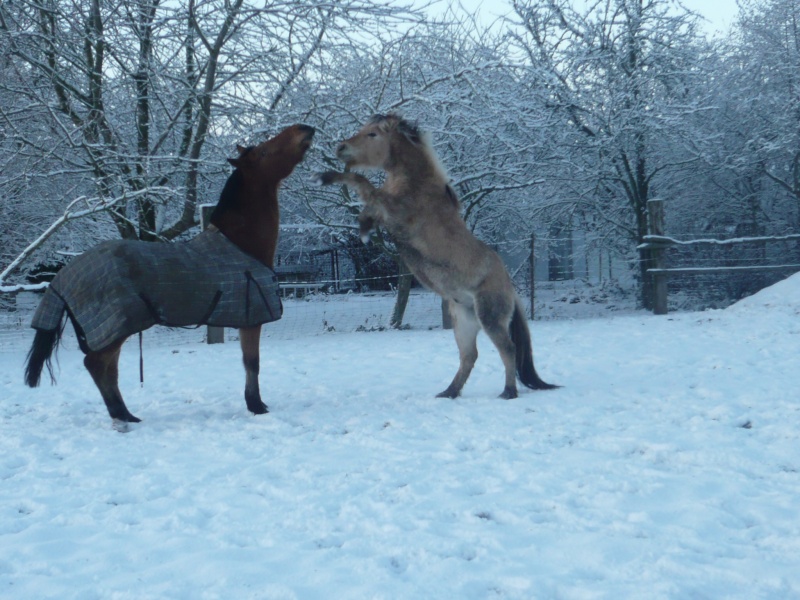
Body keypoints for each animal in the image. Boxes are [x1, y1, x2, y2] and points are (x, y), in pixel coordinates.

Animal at [25, 124, 312, 424]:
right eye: (264, 151)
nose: (303, 129)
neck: (240, 245)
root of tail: (64, 275)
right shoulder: (251, 320)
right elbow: (252, 363)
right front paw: (256, 406)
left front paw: (255, 403)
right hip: (115, 329)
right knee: (97, 365)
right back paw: (122, 416)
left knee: (108, 369)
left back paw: (126, 414)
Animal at [316, 115, 560, 400]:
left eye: (373, 134)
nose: (340, 148)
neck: (417, 184)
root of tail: (509, 287)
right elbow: (368, 204)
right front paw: (364, 229)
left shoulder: (395, 212)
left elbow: (364, 186)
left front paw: (326, 177)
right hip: (464, 323)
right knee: (469, 356)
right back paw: (448, 392)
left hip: (490, 318)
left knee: (507, 349)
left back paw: (508, 392)